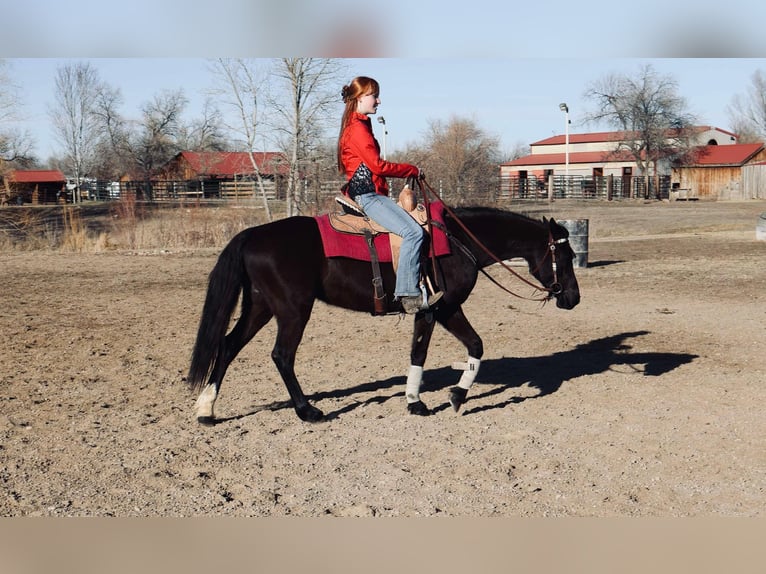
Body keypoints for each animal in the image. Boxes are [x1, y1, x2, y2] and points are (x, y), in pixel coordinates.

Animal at [188, 205, 584, 426]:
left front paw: (429, 399)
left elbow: (435, 351)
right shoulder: (443, 307)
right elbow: (462, 346)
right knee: (282, 356)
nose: (574, 298)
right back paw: (307, 411)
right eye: (566, 256)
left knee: (228, 346)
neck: (457, 244)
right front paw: (442, 398)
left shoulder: (430, 311)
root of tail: (253, 235)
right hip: (292, 310)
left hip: (260, 306)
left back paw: (206, 410)